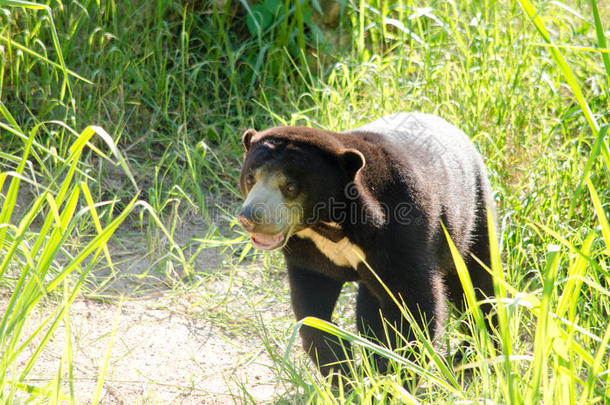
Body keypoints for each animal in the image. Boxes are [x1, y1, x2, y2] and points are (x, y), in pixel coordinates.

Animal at [236, 112, 494, 380]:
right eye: (250, 178)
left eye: (290, 187)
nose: (250, 217)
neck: (328, 224)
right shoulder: (308, 254)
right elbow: (313, 310)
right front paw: (344, 376)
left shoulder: (401, 233)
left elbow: (413, 305)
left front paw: (398, 374)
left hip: (472, 213)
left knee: (476, 280)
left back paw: (474, 353)